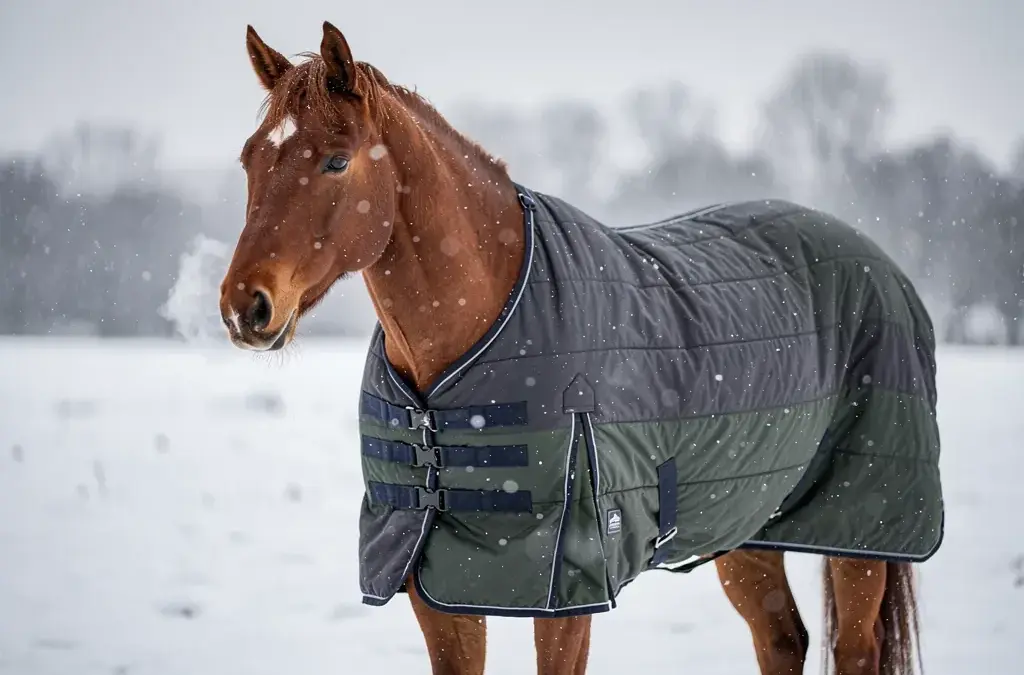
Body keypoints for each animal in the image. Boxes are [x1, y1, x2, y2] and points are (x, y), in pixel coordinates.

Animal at [219, 22, 939, 675]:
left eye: (336, 159)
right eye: (251, 158)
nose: (244, 305)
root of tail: (877, 260)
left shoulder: (567, 595)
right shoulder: (435, 587)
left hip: (862, 533)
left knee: (854, 649)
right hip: (747, 522)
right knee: (782, 638)